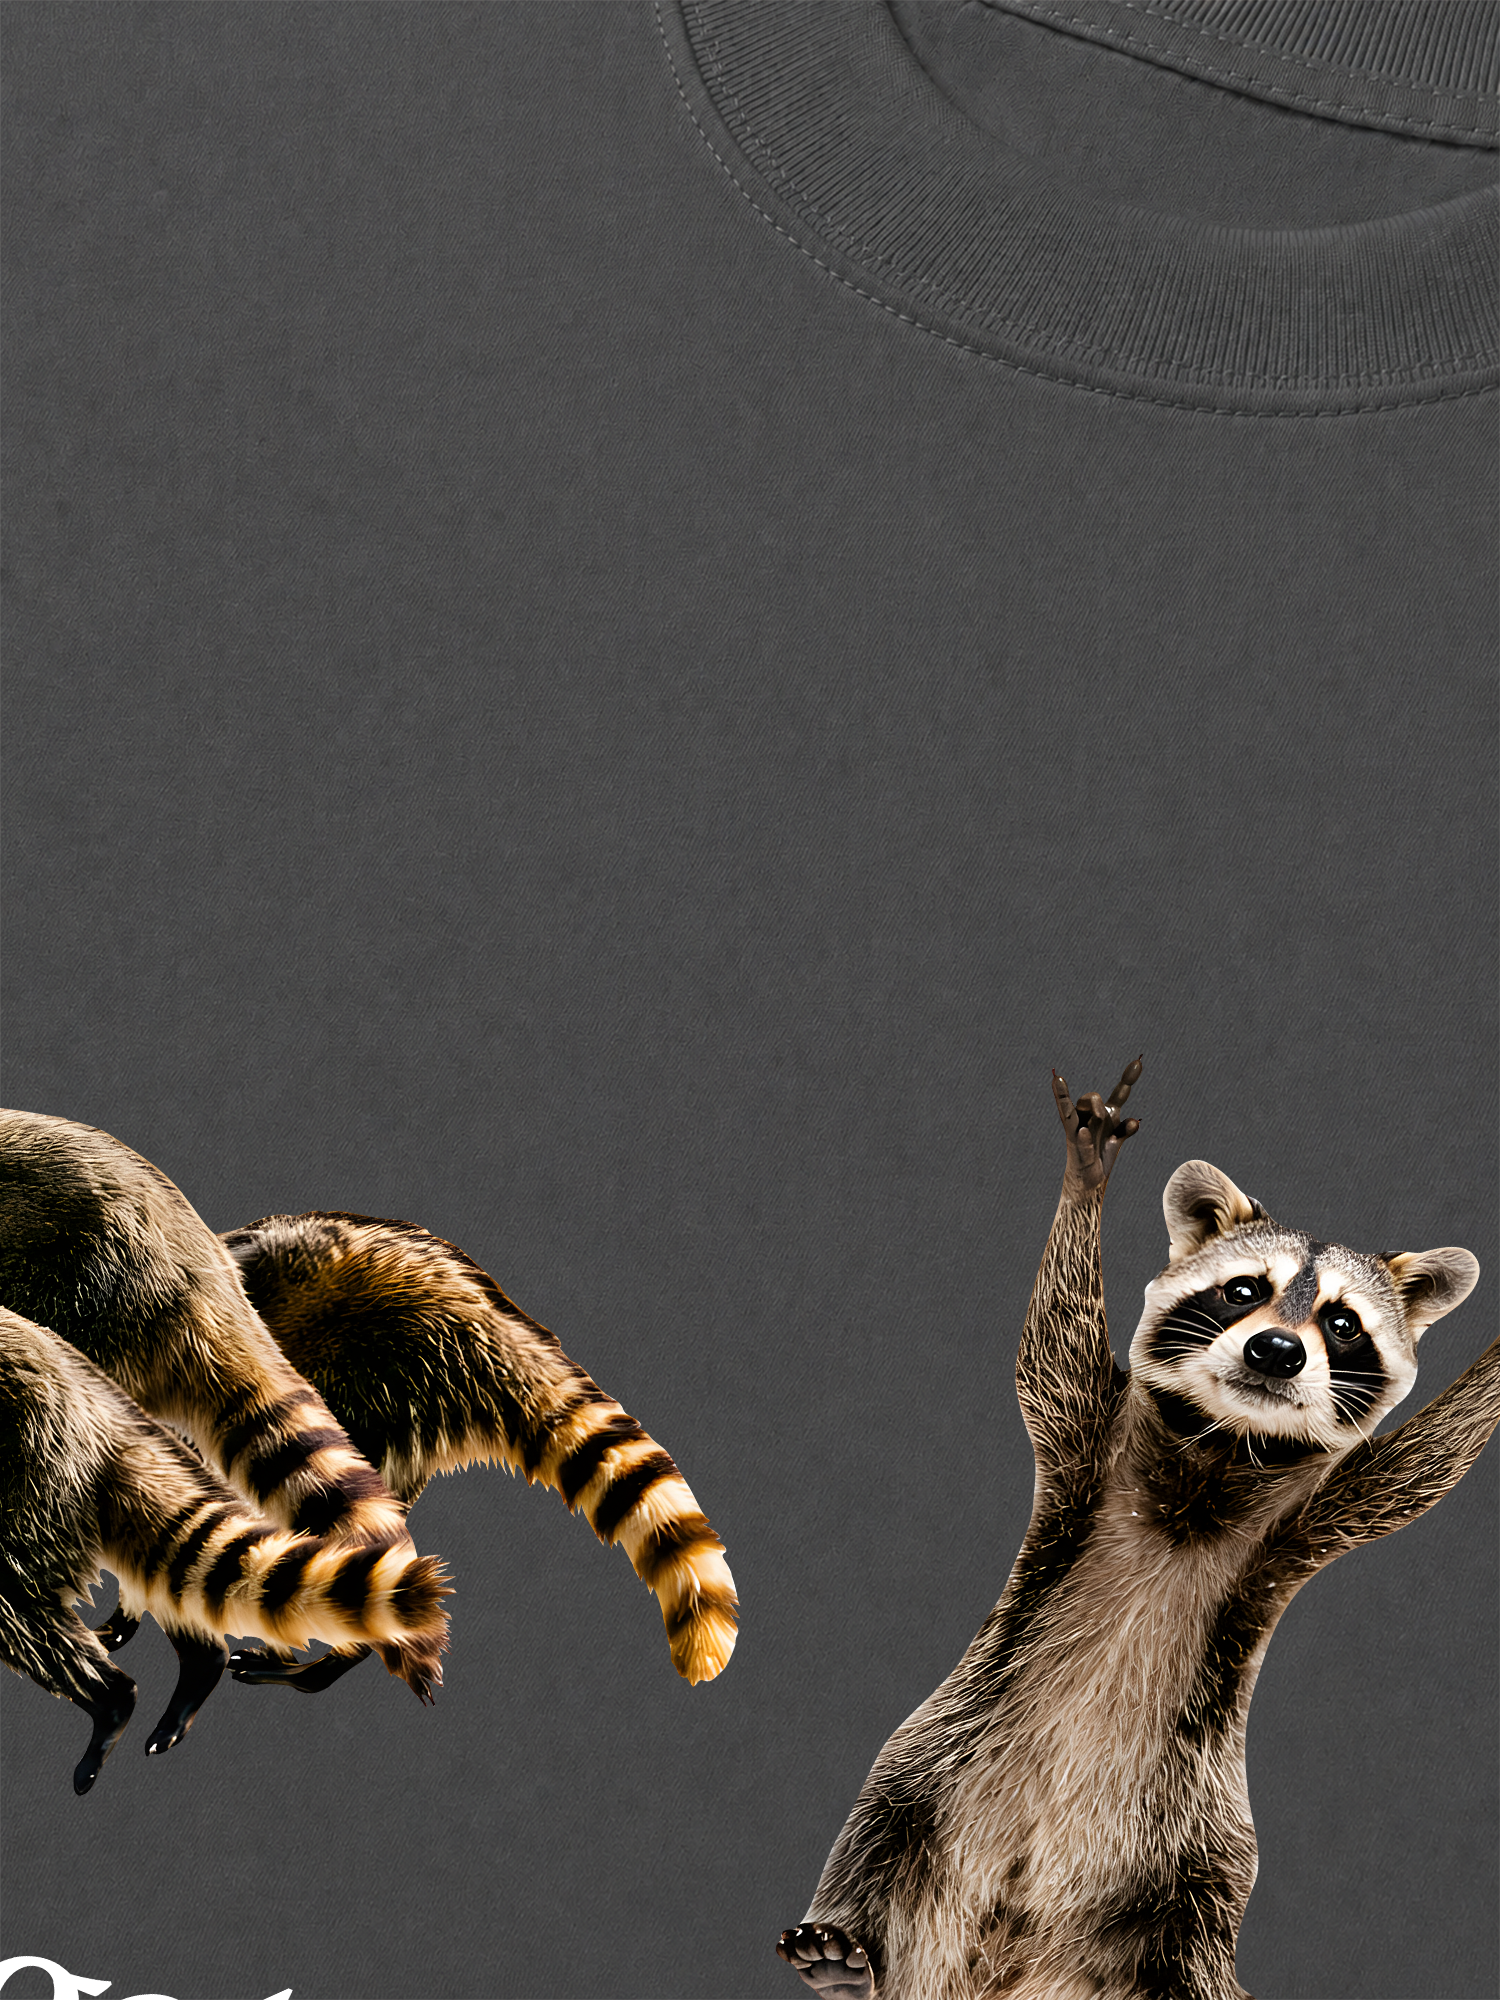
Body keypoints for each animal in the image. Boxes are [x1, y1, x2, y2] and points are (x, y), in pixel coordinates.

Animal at [778, 1061, 1493, 2000]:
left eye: (1342, 1324)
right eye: (1244, 1290)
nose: (1276, 1352)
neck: (1217, 1456)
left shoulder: (1309, 1522)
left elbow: (1423, 1468)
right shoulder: (1086, 1449)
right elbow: (1052, 1348)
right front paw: (1088, 1174)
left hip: (1192, 1876)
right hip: (936, 1768)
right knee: (881, 1826)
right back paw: (845, 1950)